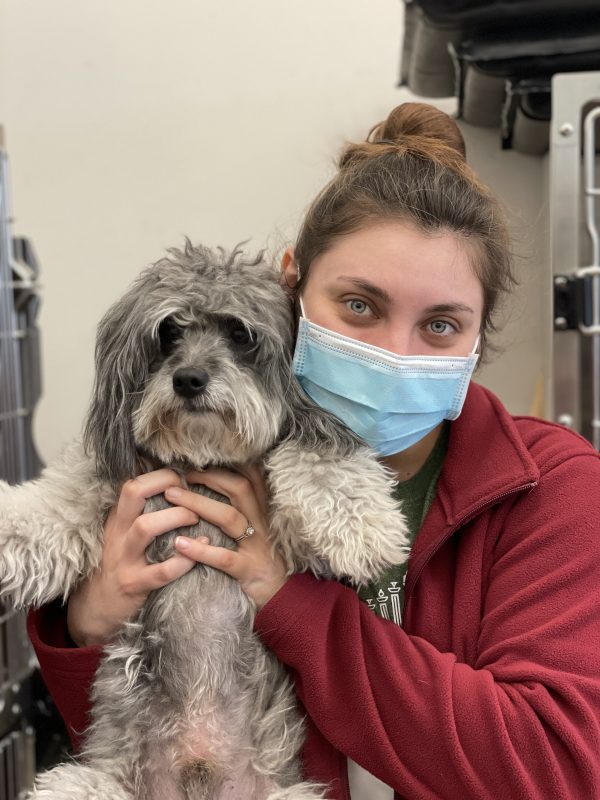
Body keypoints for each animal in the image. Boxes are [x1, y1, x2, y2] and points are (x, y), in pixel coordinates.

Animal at [0, 244, 408, 800]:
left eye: (239, 333)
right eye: (169, 332)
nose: (189, 379)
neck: (199, 463)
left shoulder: (296, 536)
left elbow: (319, 459)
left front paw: (366, 524)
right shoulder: (92, 493)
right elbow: (48, 513)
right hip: (81, 784)